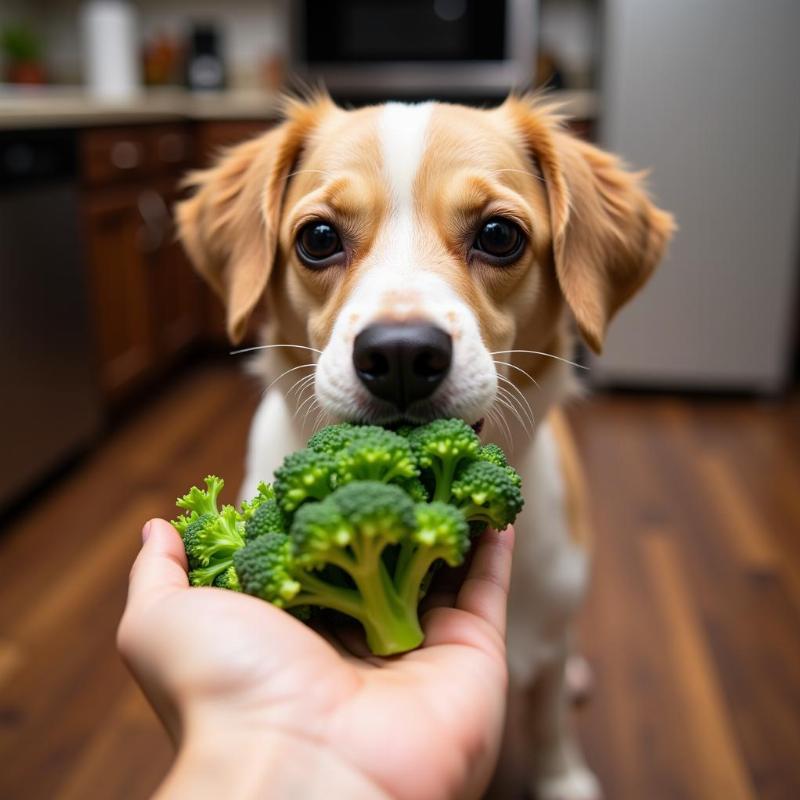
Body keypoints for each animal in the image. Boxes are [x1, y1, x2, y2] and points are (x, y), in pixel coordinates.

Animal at [177, 95, 676, 800]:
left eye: (499, 235)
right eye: (317, 239)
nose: (401, 354)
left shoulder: (552, 630)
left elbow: (550, 721)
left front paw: (562, 778)